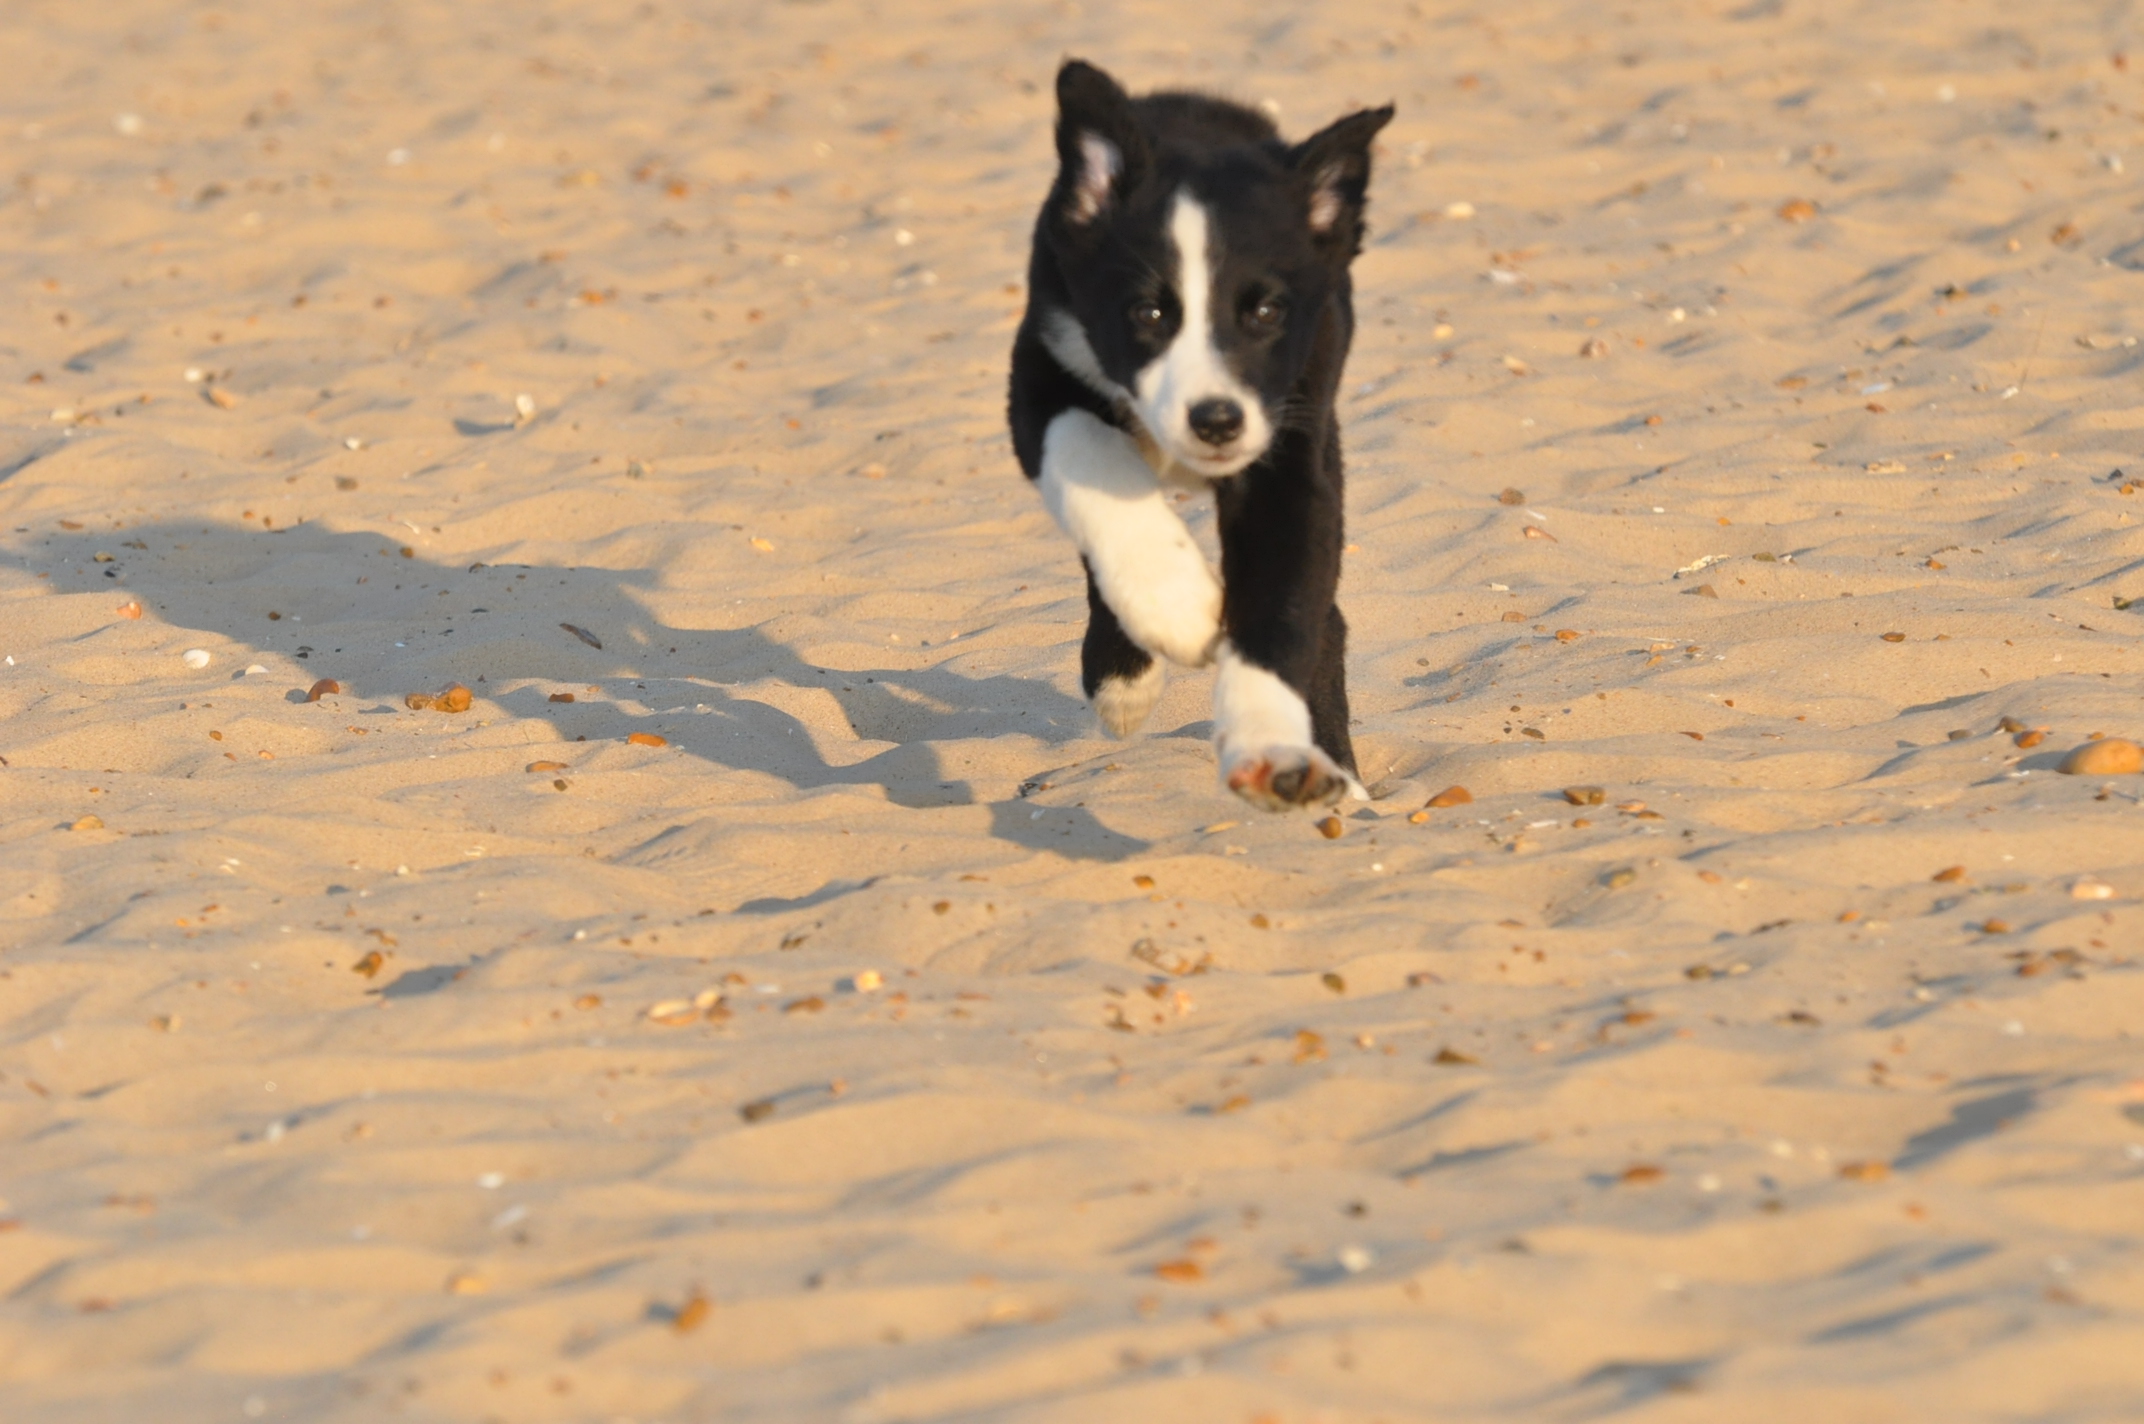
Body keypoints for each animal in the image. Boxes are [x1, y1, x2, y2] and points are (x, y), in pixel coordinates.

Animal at [1011, 61, 1397, 810]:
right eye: (1149, 312)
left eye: (1267, 312)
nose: (1216, 420)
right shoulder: (1039, 378)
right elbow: (1093, 467)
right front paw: (1178, 610)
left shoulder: (1291, 447)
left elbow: (1281, 603)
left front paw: (1273, 753)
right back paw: (1124, 682)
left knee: (1324, 616)